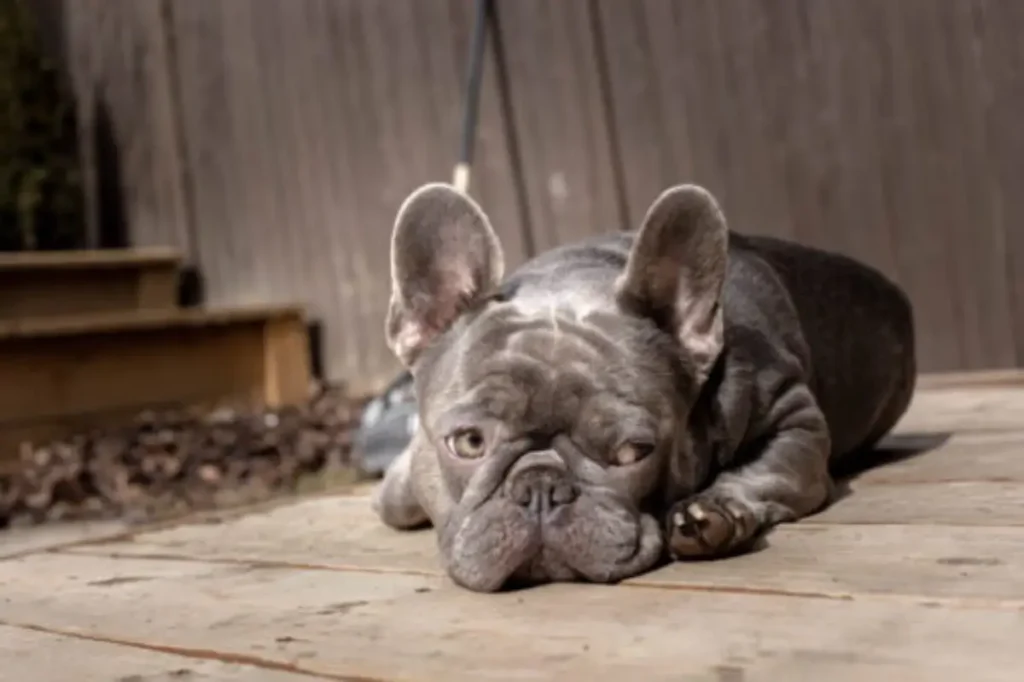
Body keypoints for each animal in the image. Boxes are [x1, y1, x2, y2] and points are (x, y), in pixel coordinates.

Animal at [372, 180, 917, 589]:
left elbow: (769, 471)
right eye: (468, 443)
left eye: (634, 452)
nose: (541, 485)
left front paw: (714, 510)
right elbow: (397, 499)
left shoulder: (794, 417)